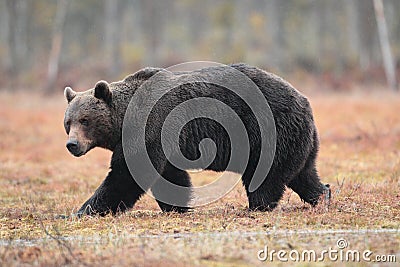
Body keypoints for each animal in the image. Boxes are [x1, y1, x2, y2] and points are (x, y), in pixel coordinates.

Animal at [64, 63, 330, 218]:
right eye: (68, 122)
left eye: (85, 120)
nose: (72, 145)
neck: (122, 120)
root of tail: (303, 99)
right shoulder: (165, 142)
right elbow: (170, 175)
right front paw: (177, 207)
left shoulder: (149, 128)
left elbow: (126, 175)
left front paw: (83, 211)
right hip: (298, 139)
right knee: (303, 173)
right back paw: (323, 195)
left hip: (268, 130)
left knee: (264, 176)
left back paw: (257, 206)